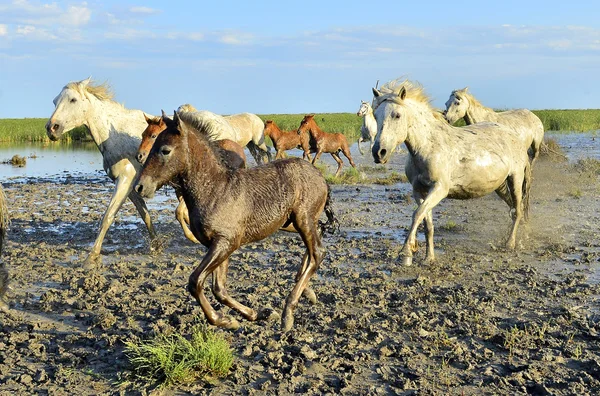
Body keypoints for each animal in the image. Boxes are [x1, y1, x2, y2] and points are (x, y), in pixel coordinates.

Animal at [45, 77, 156, 266]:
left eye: (73, 100)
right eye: (54, 101)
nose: (52, 128)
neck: (116, 135)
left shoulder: (125, 180)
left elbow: (107, 217)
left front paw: (91, 257)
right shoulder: (131, 187)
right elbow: (144, 214)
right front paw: (157, 244)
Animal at [137, 110, 246, 243]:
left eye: (153, 136)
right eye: (143, 134)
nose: (139, 156)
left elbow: (179, 212)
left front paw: (193, 237)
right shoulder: (180, 193)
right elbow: (184, 213)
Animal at [372, 78, 532, 266]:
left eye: (397, 115)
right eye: (375, 115)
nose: (378, 152)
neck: (428, 146)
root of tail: (515, 136)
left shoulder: (440, 189)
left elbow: (417, 214)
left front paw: (406, 253)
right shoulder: (419, 190)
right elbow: (427, 223)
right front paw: (428, 258)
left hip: (515, 179)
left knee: (518, 210)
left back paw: (510, 243)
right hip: (499, 185)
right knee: (513, 207)